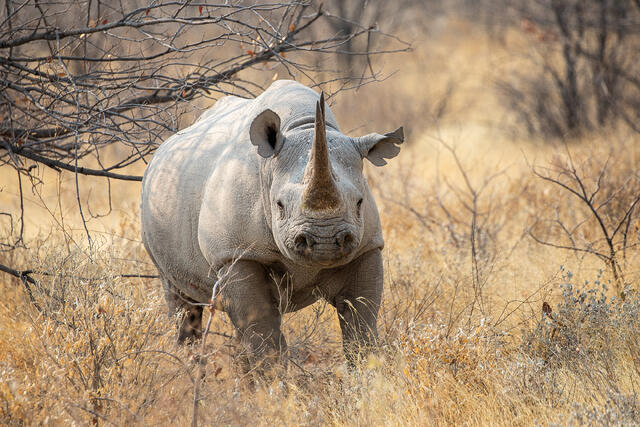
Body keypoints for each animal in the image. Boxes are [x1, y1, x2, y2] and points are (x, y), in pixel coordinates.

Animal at [141, 80, 404, 365]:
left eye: (359, 203)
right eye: (279, 205)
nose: (324, 243)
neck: (303, 126)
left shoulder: (367, 247)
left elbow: (360, 318)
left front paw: (367, 368)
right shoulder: (235, 253)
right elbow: (258, 322)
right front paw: (273, 375)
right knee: (181, 301)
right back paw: (186, 362)